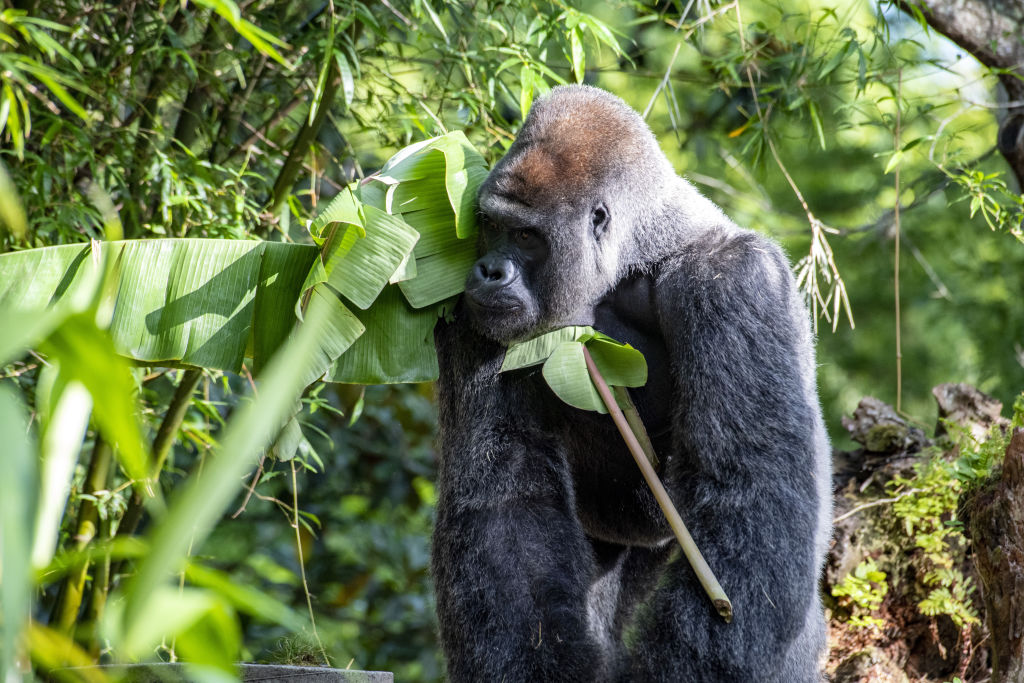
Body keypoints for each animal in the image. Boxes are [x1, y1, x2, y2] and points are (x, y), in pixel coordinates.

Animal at [430, 84, 831, 682]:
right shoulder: (475, 314)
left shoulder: (735, 283)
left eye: (525, 235)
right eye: (488, 225)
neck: (635, 256)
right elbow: (505, 501)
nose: (486, 271)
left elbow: (752, 494)